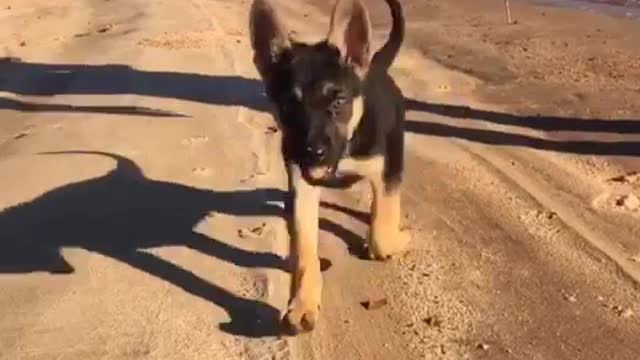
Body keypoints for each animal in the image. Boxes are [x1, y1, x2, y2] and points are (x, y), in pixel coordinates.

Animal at [249, 0, 404, 334]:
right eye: (288, 105)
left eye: (338, 101)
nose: (313, 153)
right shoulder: (303, 187)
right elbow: (305, 249)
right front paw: (303, 302)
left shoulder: (388, 171)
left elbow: (382, 235)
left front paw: (397, 237)